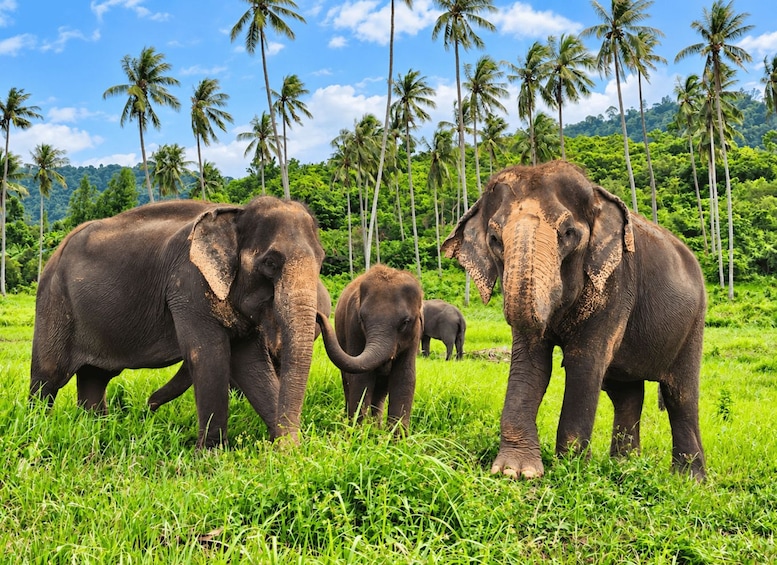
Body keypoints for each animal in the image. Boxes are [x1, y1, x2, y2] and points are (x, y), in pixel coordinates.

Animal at [316, 264, 423, 432]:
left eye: (405, 322)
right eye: (362, 318)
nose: (318, 315)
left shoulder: (415, 334)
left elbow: (404, 378)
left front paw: (395, 437)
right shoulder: (353, 326)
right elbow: (361, 378)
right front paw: (356, 432)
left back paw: (376, 428)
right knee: (348, 380)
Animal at [441, 161, 707, 480]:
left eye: (568, 233)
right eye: (494, 240)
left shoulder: (616, 284)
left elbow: (585, 362)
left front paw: (571, 470)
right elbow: (531, 363)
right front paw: (516, 472)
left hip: (694, 323)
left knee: (680, 396)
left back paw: (689, 481)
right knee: (626, 394)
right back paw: (625, 468)